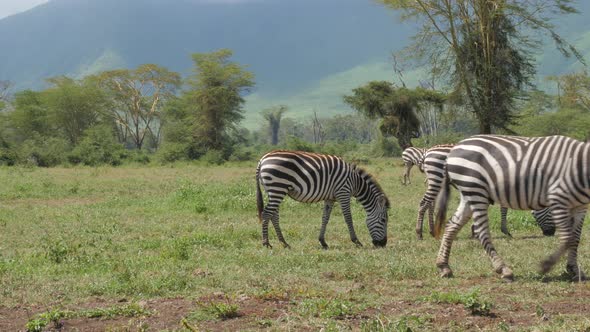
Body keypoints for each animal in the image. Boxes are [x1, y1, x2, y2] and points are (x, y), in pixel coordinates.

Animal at [256, 150, 390, 249]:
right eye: (383, 220)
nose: (383, 244)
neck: (355, 182)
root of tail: (263, 159)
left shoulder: (330, 198)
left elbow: (325, 218)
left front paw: (323, 242)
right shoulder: (343, 193)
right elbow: (348, 218)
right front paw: (356, 241)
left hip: (274, 190)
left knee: (274, 215)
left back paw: (284, 243)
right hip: (278, 187)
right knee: (266, 213)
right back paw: (266, 243)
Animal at [414, 144, 556, 240]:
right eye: (550, 211)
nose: (551, 233)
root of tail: (427, 152)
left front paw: (474, 231)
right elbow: (503, 209)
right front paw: (504, 231)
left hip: (435, 181)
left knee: (430, 204)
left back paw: (431, 231)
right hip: (436, 178)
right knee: (423, 203)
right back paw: (419, 233)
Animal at [434, 134, 590, 282]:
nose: (550, 232)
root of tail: (453, 150)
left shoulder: (580, 207)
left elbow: (575, 238)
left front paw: (574, 270)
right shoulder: (558, 198)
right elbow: (568, 238)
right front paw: (547, 265)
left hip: (468, 194)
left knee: (451, 225)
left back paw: (444, 266)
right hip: (475, 190)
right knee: (481, 231)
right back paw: (504, 269)